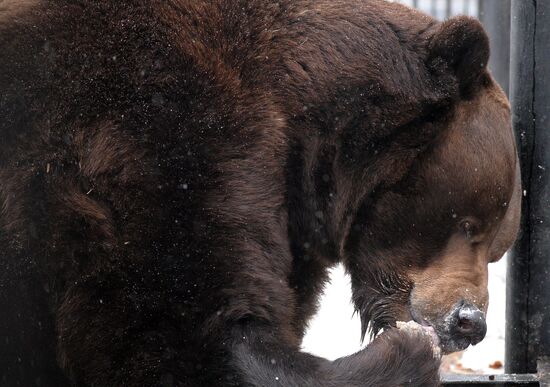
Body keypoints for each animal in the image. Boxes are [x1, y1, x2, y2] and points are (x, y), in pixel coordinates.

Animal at [0, 0, 520, 387]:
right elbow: (175, 331)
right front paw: (408, 351)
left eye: (498, 247)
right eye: (468, 223)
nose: (469, 322)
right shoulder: (159, 131)